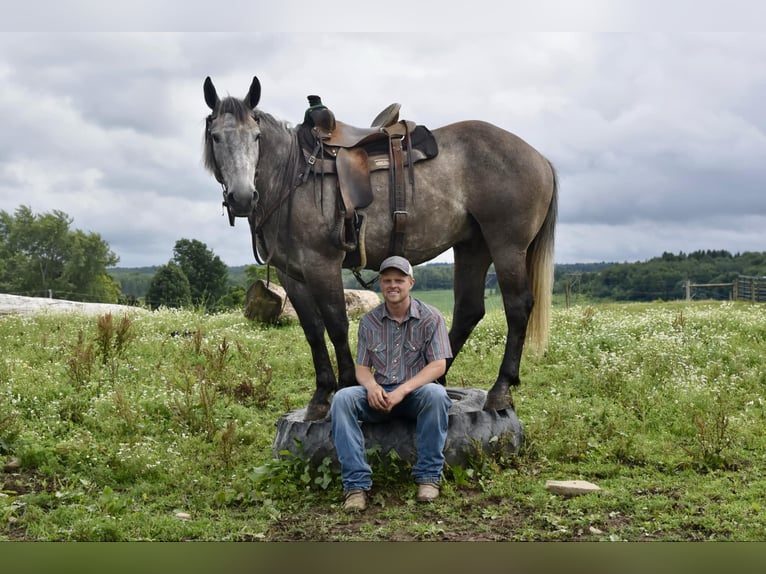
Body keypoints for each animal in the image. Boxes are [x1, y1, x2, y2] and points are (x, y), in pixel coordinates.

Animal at [202, 76, 558, 421]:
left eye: (256, 137)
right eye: (216, 137)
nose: (242, 197)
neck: (293, 175)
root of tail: (539, 157)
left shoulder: (322, 265)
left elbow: (336, 324)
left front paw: (345, 384)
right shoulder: (292, 275)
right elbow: (313, 330)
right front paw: (320, 396)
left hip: (507, 247)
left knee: (517, 307)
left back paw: (500, 390)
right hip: (473, 247)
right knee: (469, 310)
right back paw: (439, 377)